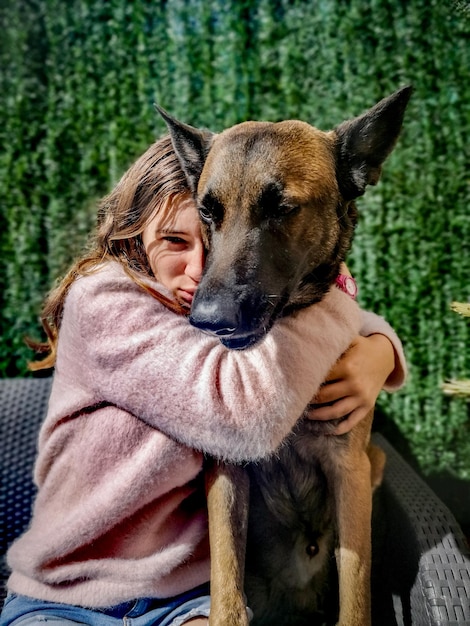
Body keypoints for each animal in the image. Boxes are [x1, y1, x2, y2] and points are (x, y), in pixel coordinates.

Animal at [156, 86, 410, 624]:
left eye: (282, 208)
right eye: (207, 212)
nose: (207, 319)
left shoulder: (350, 472)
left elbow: (356, 593)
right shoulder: (227, 475)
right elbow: (226, 587)